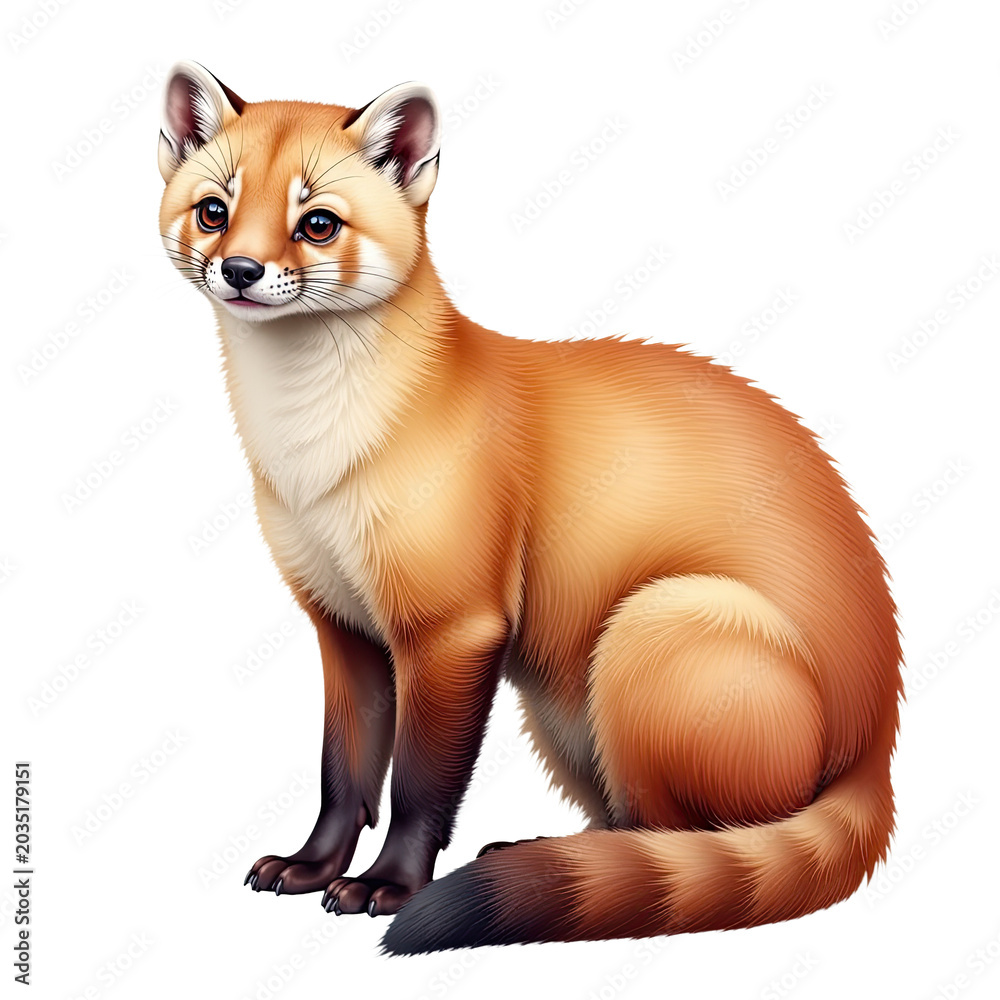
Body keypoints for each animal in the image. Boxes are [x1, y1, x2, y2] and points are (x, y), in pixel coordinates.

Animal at [158, 62, 902, 954]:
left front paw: (387, 885)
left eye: (318, 223)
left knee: (687, 836)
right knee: (635, 827)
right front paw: (310, 865)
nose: (239, 269)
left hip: (650, 631)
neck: (317, 466)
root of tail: (878, 740)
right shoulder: (343, 624)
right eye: (215, 210)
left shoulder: (453, 629)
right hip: (564, 709)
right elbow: (345, 773)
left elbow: (419, 785)